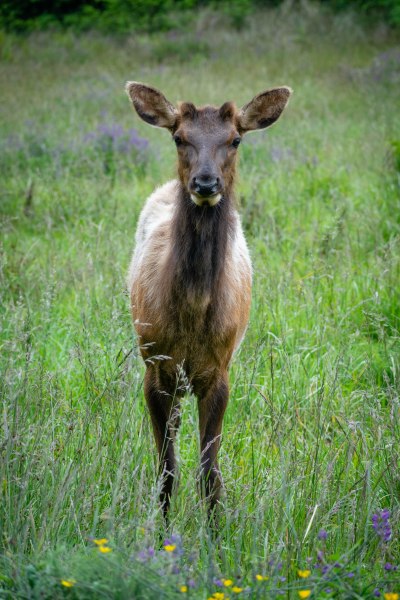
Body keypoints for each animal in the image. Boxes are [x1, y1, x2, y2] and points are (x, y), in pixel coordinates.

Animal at [126, 82, 292, 516]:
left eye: (235, 140)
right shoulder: (155, 367)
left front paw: (216, 531)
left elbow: (210, 473)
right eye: (178, 137)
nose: (205, 183)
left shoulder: (220, 371)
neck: (192, 313)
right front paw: (162, 529)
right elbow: (167, 469)